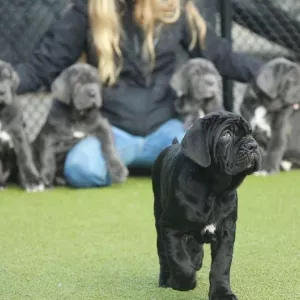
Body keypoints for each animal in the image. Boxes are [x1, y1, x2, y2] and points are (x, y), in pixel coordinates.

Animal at [151, 111, 262, 298]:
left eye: (250, 133)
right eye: (226, 135)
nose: (252, 145)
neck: (214, 191)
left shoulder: (226, 232)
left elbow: (221, 266)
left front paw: (222, 293)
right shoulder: (170, 228)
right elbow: (179, 260)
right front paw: (181, 283)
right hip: (159, 218)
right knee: (163, 253)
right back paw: (166, 278)